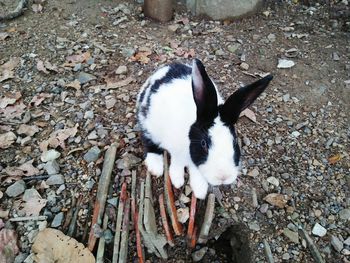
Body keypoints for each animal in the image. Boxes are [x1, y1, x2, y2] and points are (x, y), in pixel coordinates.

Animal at [137, 59, 274, 200]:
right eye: (204, 143)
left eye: (235, 142)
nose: (223, 177)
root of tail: (165, 68)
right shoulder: (177, 152)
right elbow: (177, 164)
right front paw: (177, 181)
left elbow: (197, 173)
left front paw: (200, 191)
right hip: (148, 123)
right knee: (148, 141)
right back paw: (156, 167)